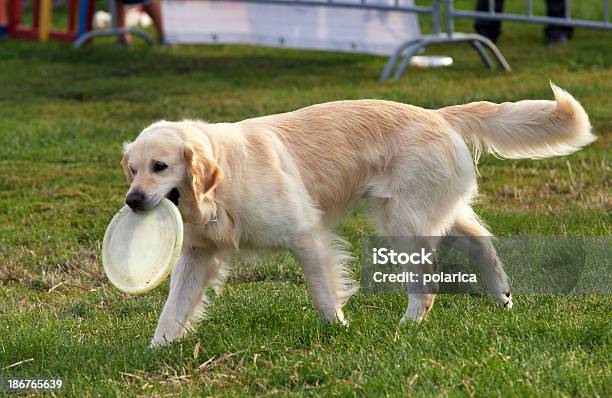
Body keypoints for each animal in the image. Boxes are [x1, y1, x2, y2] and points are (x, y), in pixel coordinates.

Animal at [122, 84, 596, 348]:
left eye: (160, 167)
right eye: (132, 170)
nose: (132, 201)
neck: (221, 183)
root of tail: (437, 114)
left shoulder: (306, 234)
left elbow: (323, 293)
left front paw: (338, 330)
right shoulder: (198, 256)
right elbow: (173, 308)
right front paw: (157, 349)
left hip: (403, 224)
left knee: (427, 286)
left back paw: (408, 325)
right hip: (427, 213)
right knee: (479, 238)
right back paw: (502, 295)